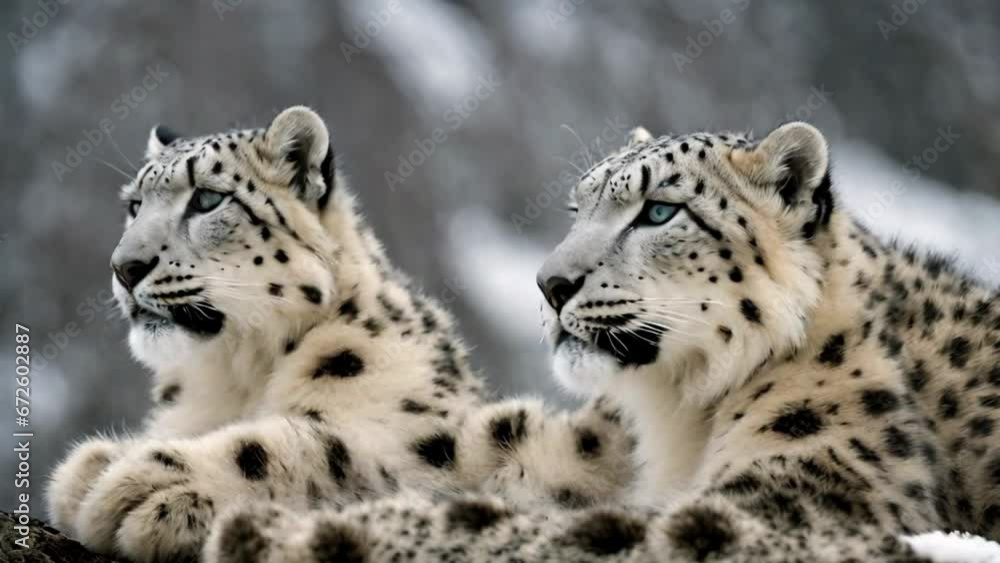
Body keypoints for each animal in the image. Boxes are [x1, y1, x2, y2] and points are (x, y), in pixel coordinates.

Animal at [45, 106, 635, 562]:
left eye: (208, 199)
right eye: (134, 205)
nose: (124, 267)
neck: (232, 376)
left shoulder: (426, 439)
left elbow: (322, 450)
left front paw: (133, 480)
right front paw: (101, 463)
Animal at [204, 121, 999, 562]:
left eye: (659, 211)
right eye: (576, 207)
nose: (549, 283)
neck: (683, 413)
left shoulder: (791, 504)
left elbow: (546, 526)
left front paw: (271, 533)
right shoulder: (596, 443)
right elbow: (447, 448)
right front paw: (175, 478)